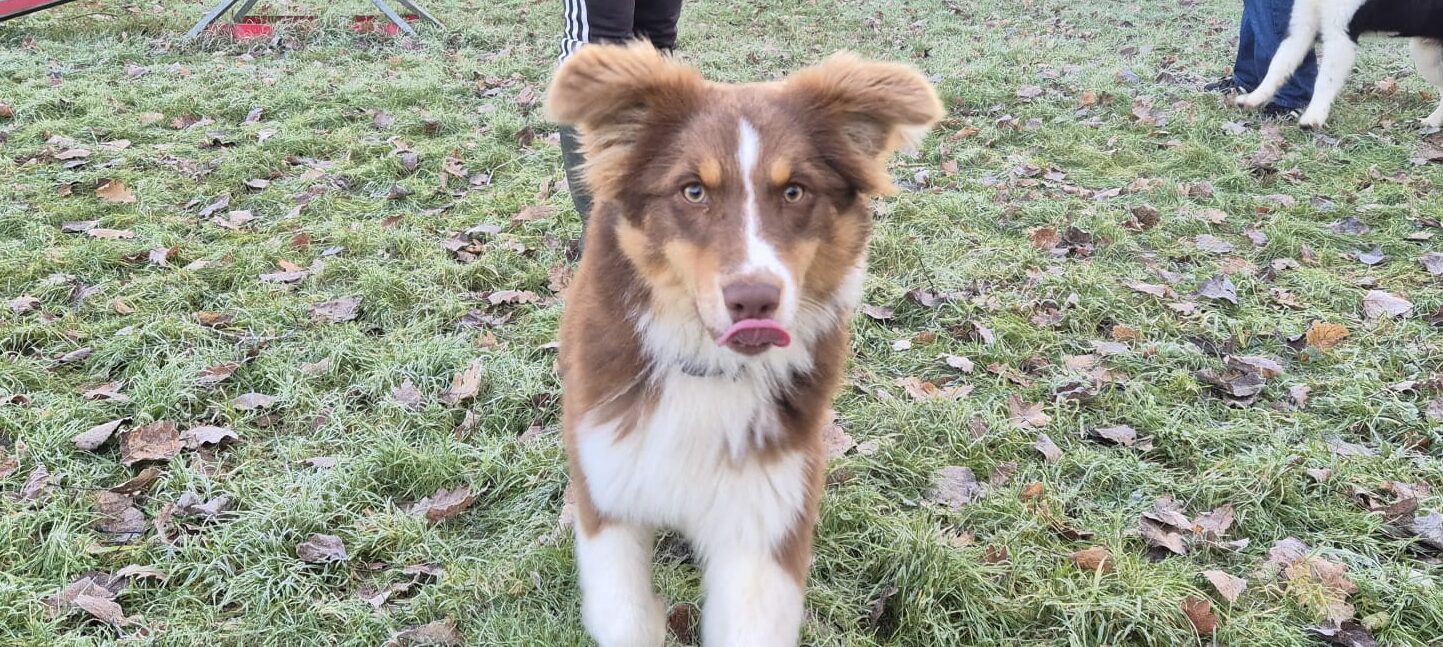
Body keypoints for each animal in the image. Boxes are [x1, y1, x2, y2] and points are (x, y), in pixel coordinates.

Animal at [543, 43, 941, 646]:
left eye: (795, 191)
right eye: (693, 190)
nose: (754, 299)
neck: (707, 369)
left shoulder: (765, 513)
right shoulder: (611, 486)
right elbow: (624, 615)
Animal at [1233, 0, 1443, 128]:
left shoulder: (1340, 36)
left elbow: (1324, 81)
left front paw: (1314, 116)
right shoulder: (1302, 27)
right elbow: (1277, 66)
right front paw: (1254, 98)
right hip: (1426, 55)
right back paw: (1431, 122)